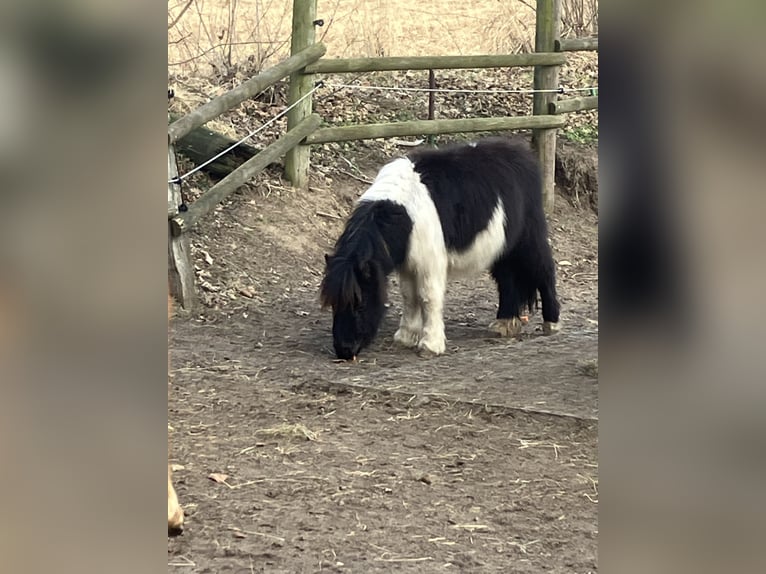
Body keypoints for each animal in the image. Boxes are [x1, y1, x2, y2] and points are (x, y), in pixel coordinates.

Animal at [320, 137, 560, 360]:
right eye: (333, 305)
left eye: (359, 304)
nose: (344, 350)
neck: (405, 214)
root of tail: (522, 154)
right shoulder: (408, 264)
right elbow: (409, 296)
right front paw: (406, 336)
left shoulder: (430, 262)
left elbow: (428, 297)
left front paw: (430, 344)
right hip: (502, 249)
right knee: (507, 279)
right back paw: (505, 323)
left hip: (529, 238)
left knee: (545, 271)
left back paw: (551, 323)